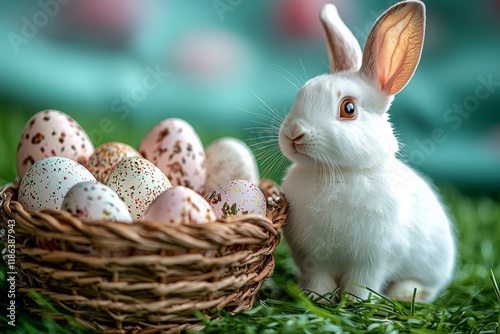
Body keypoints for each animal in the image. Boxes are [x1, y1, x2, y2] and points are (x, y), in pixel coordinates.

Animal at [280, 0, 456, 302]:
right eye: (301, 94)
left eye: (348, 108)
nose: (294, 133)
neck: (337, 174)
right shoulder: (314, 260)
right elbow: (318, 280)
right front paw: (316, 298)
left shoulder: (372, 261)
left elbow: (361, 284)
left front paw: (354, 303)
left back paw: (404, 294)